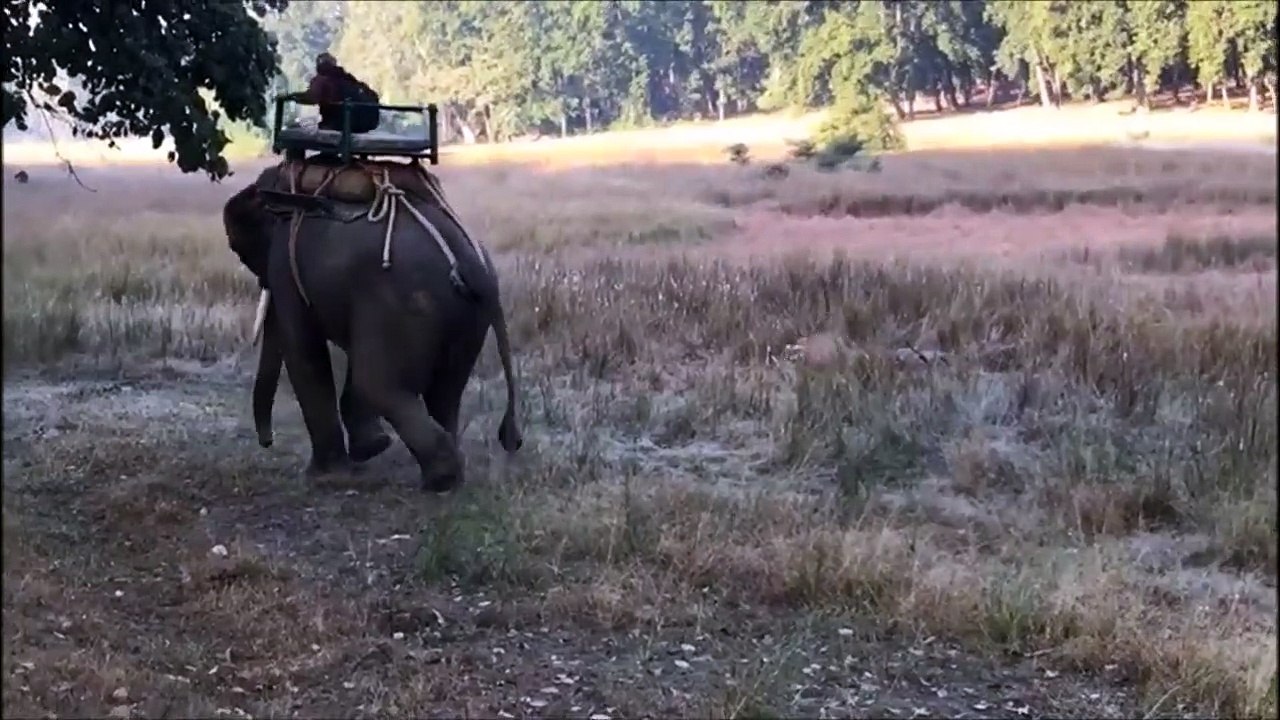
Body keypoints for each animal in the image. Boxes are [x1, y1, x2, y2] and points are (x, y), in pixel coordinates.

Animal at [222, 161, 522, 492]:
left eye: (238, 249)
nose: (267, 442)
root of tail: (473, 269)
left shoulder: (285, 264)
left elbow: (304, 349)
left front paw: (326, 476)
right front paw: (371, 448)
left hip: (407, 302)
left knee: (379, 382)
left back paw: (441, 479)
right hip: (465, 318)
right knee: (444, 390)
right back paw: (446, 477)